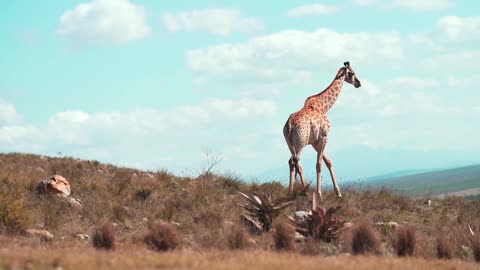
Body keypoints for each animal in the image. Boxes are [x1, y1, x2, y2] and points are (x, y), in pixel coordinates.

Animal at [284, 62, 362, 199]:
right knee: (296, 161)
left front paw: (338, 193)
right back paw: (305, 191)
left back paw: (290, 192)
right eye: (352, 73)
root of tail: (289, 124)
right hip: (301, 141)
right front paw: (319, 194)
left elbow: (328, 161)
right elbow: (319, 164)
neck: (323, 107)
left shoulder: (315, 142)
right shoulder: (324, 136)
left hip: (291, 143)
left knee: (292, 161)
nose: (359, 83)